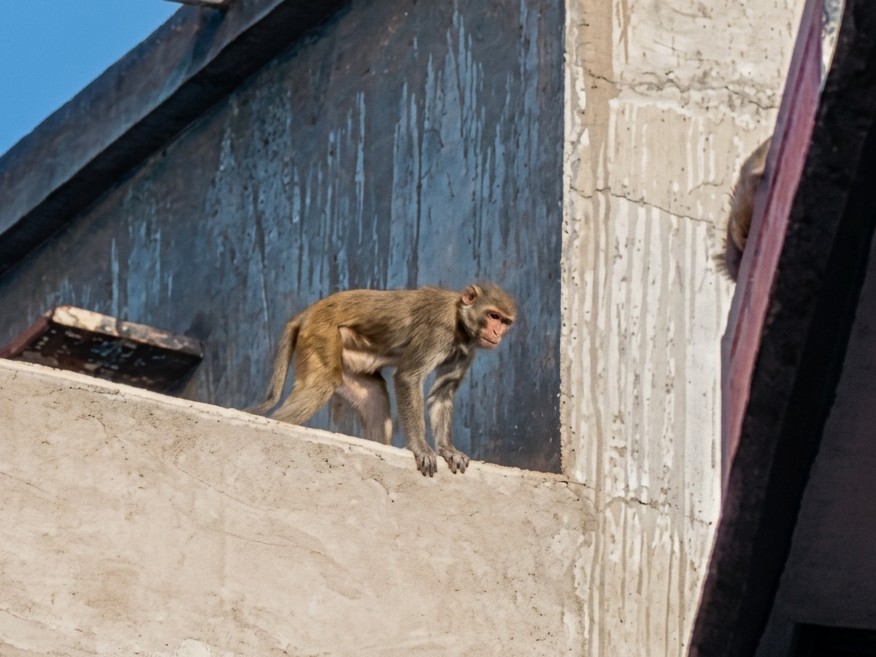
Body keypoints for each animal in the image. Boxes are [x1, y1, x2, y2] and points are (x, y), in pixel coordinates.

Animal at [249, 283, 517, 477]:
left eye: (504, 321)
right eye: (493, 315)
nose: (497, 333)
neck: (460, 321)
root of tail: (309, 312)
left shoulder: (465, 351)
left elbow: (442, 393)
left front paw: (448, 450)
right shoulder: (438, 331)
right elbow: (408, 377)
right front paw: (420, 447)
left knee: (374, 396)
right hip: (321, 336)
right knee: (320, 386)